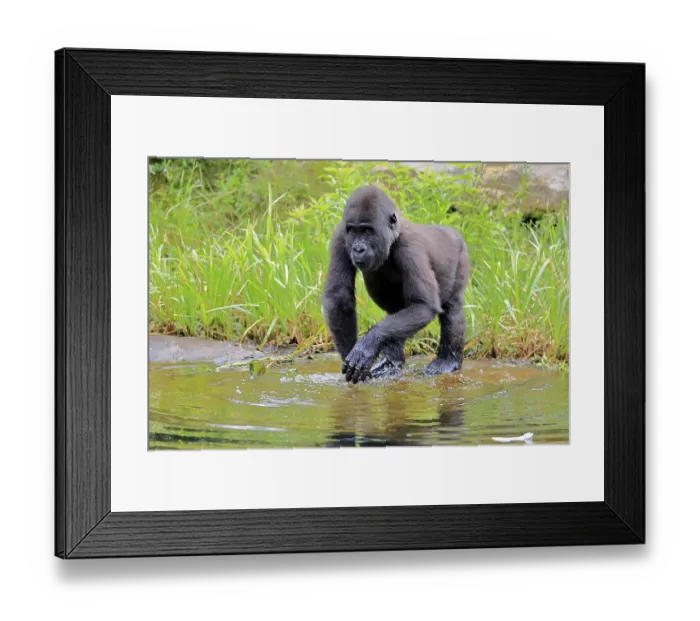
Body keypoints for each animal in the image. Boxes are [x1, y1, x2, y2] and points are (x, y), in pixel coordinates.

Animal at [322, 185, 471, 383]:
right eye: (353, 231)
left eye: (367, 231)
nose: (358, 249)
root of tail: (453, 232)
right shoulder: (341, 235)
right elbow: (339, 297)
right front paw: (351, 353)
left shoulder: (411, 249)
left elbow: (422, 305)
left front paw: (367, 345)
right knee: (395, 312)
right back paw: (392, 362)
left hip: (461, 254)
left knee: (452, 310)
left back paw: (447, 361)